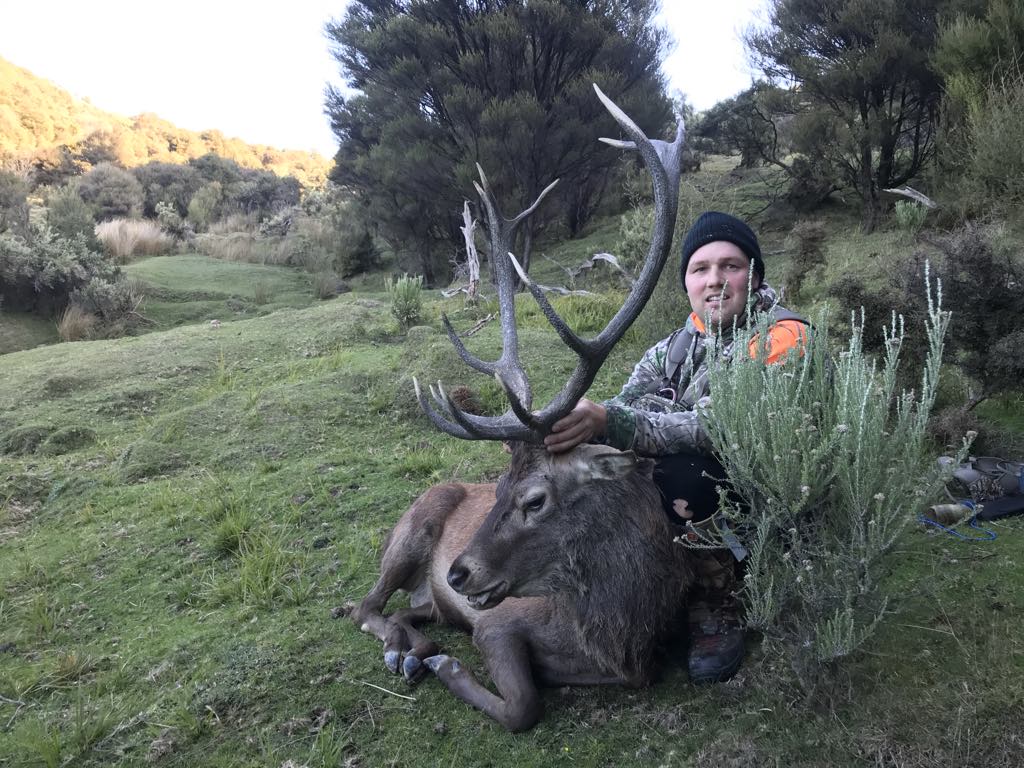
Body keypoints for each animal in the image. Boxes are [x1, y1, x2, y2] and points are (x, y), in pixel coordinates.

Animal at [345, 85, 690, 732]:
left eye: (534, 499)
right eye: (498, 486)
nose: (459, 572)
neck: (619, 633)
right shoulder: (498, 621)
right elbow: (522, 706)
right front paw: (447, 667)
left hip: (430, 594)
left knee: (407, 611)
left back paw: (415, 642)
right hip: (408, 534)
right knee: (364, 605)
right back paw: (408, 651)